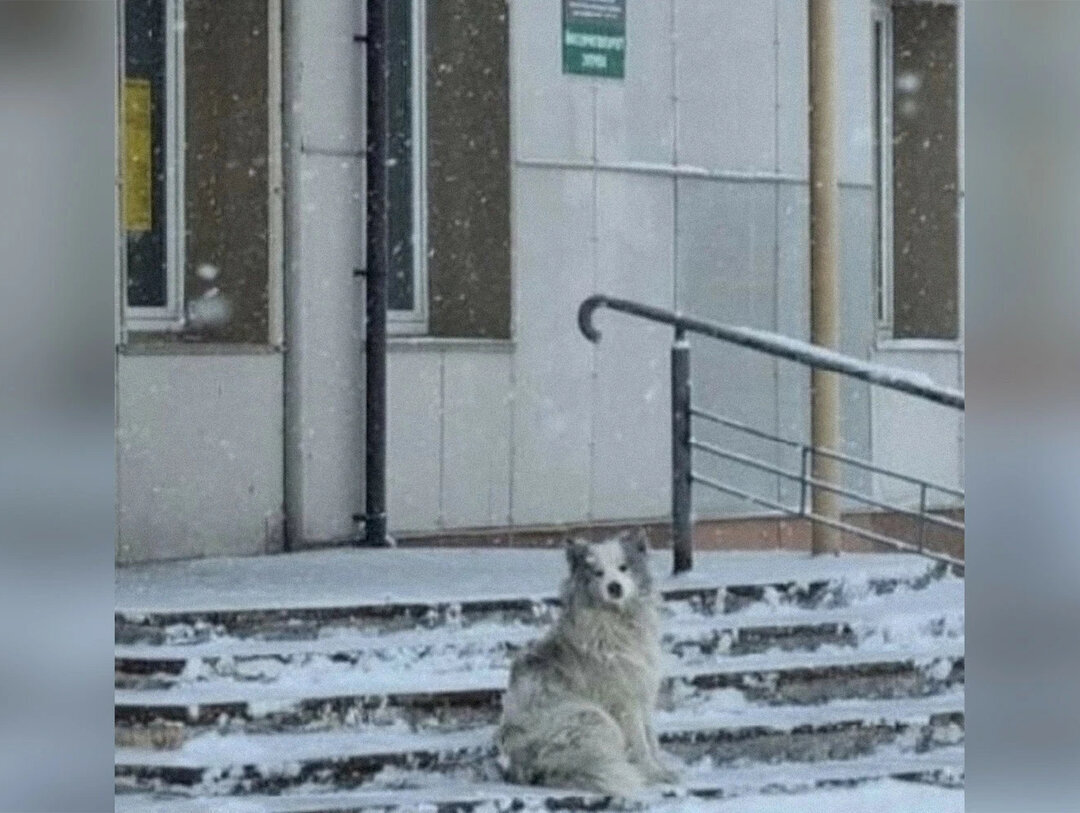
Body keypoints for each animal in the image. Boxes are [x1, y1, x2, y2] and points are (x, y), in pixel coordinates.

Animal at [494, 533, 673, 794]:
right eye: (598, 572)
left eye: (623, 568)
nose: (614, 587)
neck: (615, 622)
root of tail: (527, 768)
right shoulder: (624, 701)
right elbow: (640, 743)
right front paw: (653, 773)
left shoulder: (643, 693)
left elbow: (651, 738)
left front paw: (661, 767)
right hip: (592, 716)